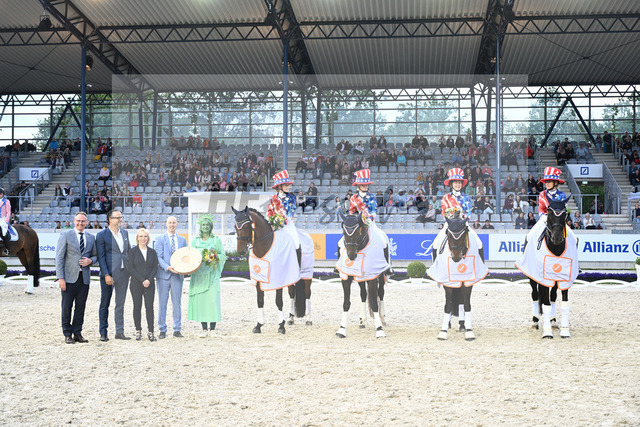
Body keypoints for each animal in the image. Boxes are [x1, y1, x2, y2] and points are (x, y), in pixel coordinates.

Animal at [231, 206, 312, 335]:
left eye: (246, 226)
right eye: (235, 226)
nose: (241, 251)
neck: (265, 247)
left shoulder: (278, 280)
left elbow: (278, 301)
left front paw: (281, 326)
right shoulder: (258, 280)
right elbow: (260, 301)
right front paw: (258, 325)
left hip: (307, 274)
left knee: (307, 293)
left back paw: (309, 319)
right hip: (291, 276)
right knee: (292, 293)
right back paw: (291, 318)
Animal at [523, 195, 575, 339]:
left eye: (565, 214)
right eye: (550, 214)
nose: (556, 237)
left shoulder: (564, 279)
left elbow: (564, 303)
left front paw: (564, 331)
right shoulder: (542, 280)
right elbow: (545, 304)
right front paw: (547, 333)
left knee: (553, 297)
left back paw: (553, 320)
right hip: (532, 278)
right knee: (535, 295)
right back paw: (535, 321)